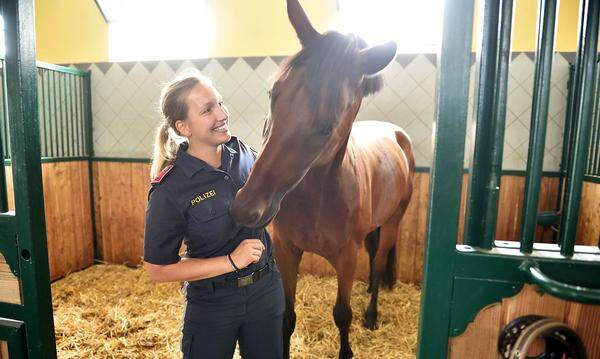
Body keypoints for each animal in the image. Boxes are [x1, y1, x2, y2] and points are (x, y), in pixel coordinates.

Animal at [230, 1, 412, 358]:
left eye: (328, 125)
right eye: (273, 93)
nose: (246, 207)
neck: (318, 197)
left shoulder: (346, 258)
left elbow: (342, 315)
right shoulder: (288, 251)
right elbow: (287, 316)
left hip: (393, 222)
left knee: (379, 262)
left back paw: (372, 313)